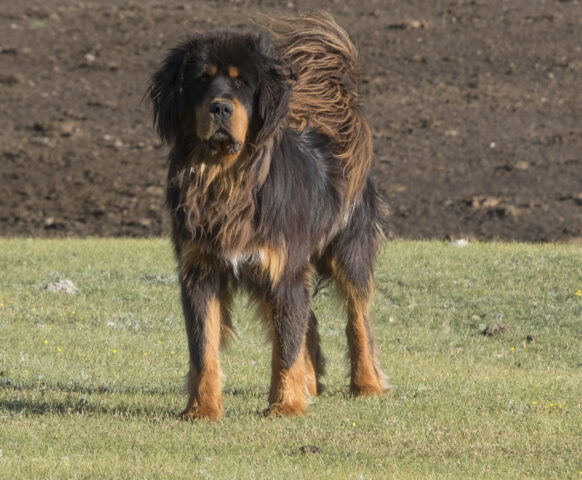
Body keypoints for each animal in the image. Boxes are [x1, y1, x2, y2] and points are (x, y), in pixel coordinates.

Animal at [148, 12, 390, 420]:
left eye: (242, 82)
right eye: (201, 79)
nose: (220, 107)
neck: (226, 178)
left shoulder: (282, 270)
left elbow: (285, 347)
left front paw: (286, 406)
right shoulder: (200, 272)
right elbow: (203, 348)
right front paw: (201, 409)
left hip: (347, 253)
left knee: (358, 320)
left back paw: (367, 384)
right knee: (308, 321)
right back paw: (311, 384)